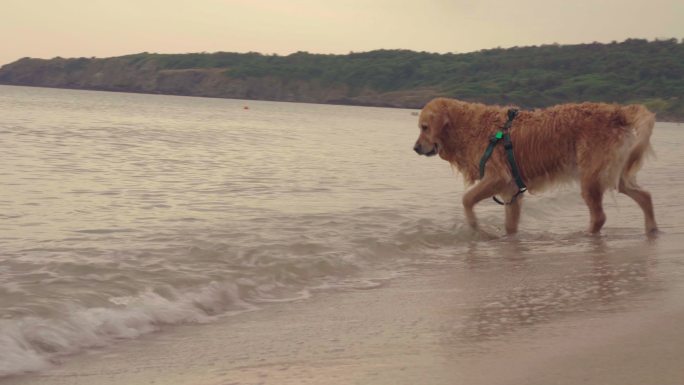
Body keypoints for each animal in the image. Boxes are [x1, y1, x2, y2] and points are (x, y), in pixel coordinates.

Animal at [412, 97, 656, 234]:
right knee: (644, 196)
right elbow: (510, 225)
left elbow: (466, 199)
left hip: (591, 176)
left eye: (424, 127)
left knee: (599, 216)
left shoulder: (498, 177)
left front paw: (475, 227)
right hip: (615, 171)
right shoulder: (510, 190)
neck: (469, 127)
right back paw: (652, 229)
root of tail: (616, 111)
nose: (415, 148)